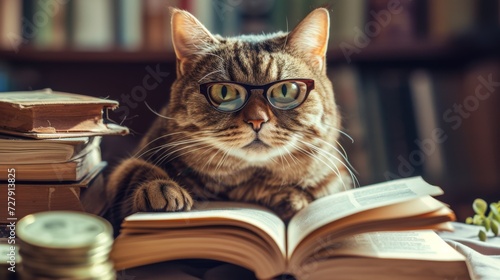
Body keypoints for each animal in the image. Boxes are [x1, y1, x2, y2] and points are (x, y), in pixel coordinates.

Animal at [105, 7, 356, 229]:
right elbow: (134, 169)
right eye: (224, 92)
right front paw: (160, 188)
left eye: (286, 91)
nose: (257, 120)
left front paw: (291, 198)